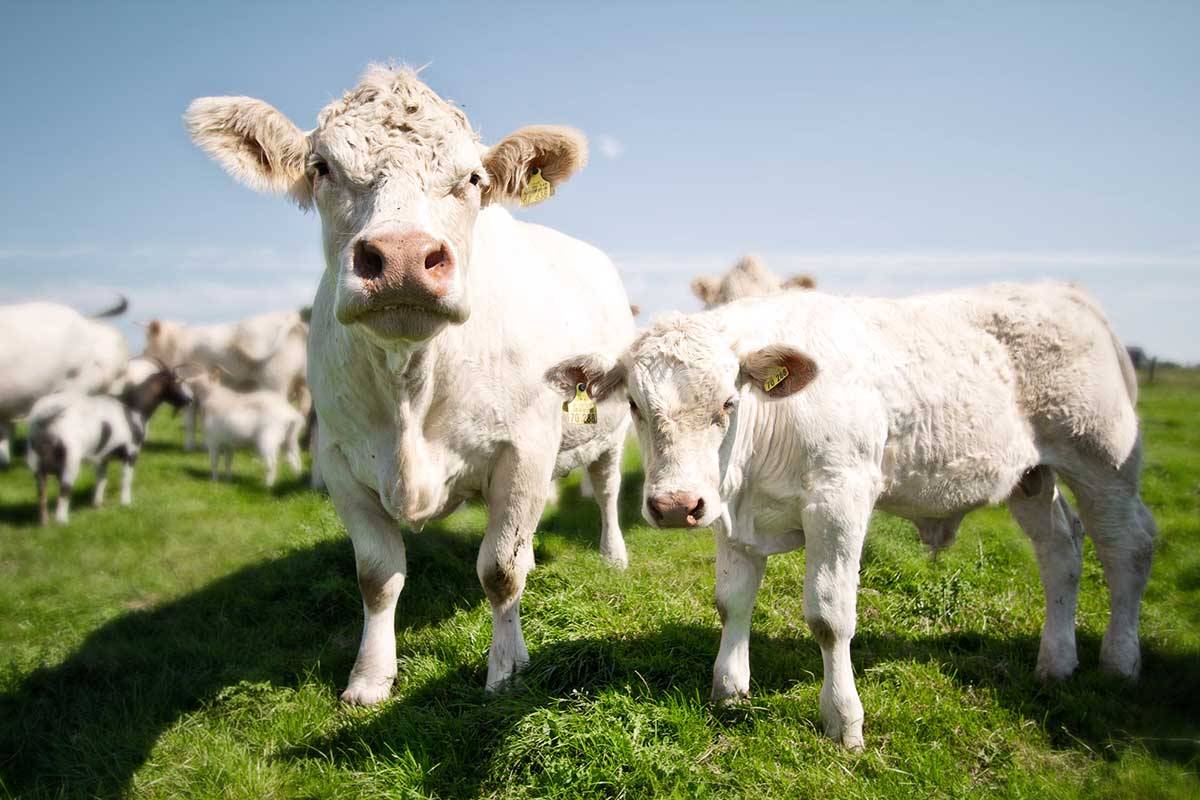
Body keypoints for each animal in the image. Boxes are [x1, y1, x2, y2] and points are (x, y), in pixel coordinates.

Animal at [142, 311, 310, 451]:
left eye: (147, 343)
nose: (142, 355)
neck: (175, 345)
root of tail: (294, 318)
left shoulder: (189, 389)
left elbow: (190, 421)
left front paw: (189, 448)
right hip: (303, 384)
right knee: (302, 414)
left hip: (274, 382)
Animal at [186, 65, 635, 703]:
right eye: (322, 167)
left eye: (472, 177)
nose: (401, 257)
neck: (409, 389)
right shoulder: (339, 459)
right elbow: (377, 576)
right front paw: (370, 677)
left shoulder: (524, 449)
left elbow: (500, 569)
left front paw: (505, 667)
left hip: (610, 432)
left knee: (606, 491)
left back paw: (613, 554)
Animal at [548, 282, 1156, 749]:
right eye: (634, 406)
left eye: (727, 403)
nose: (675, 506)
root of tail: (1064, 292)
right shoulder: (729, 512)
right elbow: (732, 602)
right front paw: (730, 689)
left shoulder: (838, 500)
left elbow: (829, 615)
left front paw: (843, 720)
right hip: (1031, 475)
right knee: (1061, 551)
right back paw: (1056, 662)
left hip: (1101, 458)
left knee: (1128, 544)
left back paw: (1120, 661)